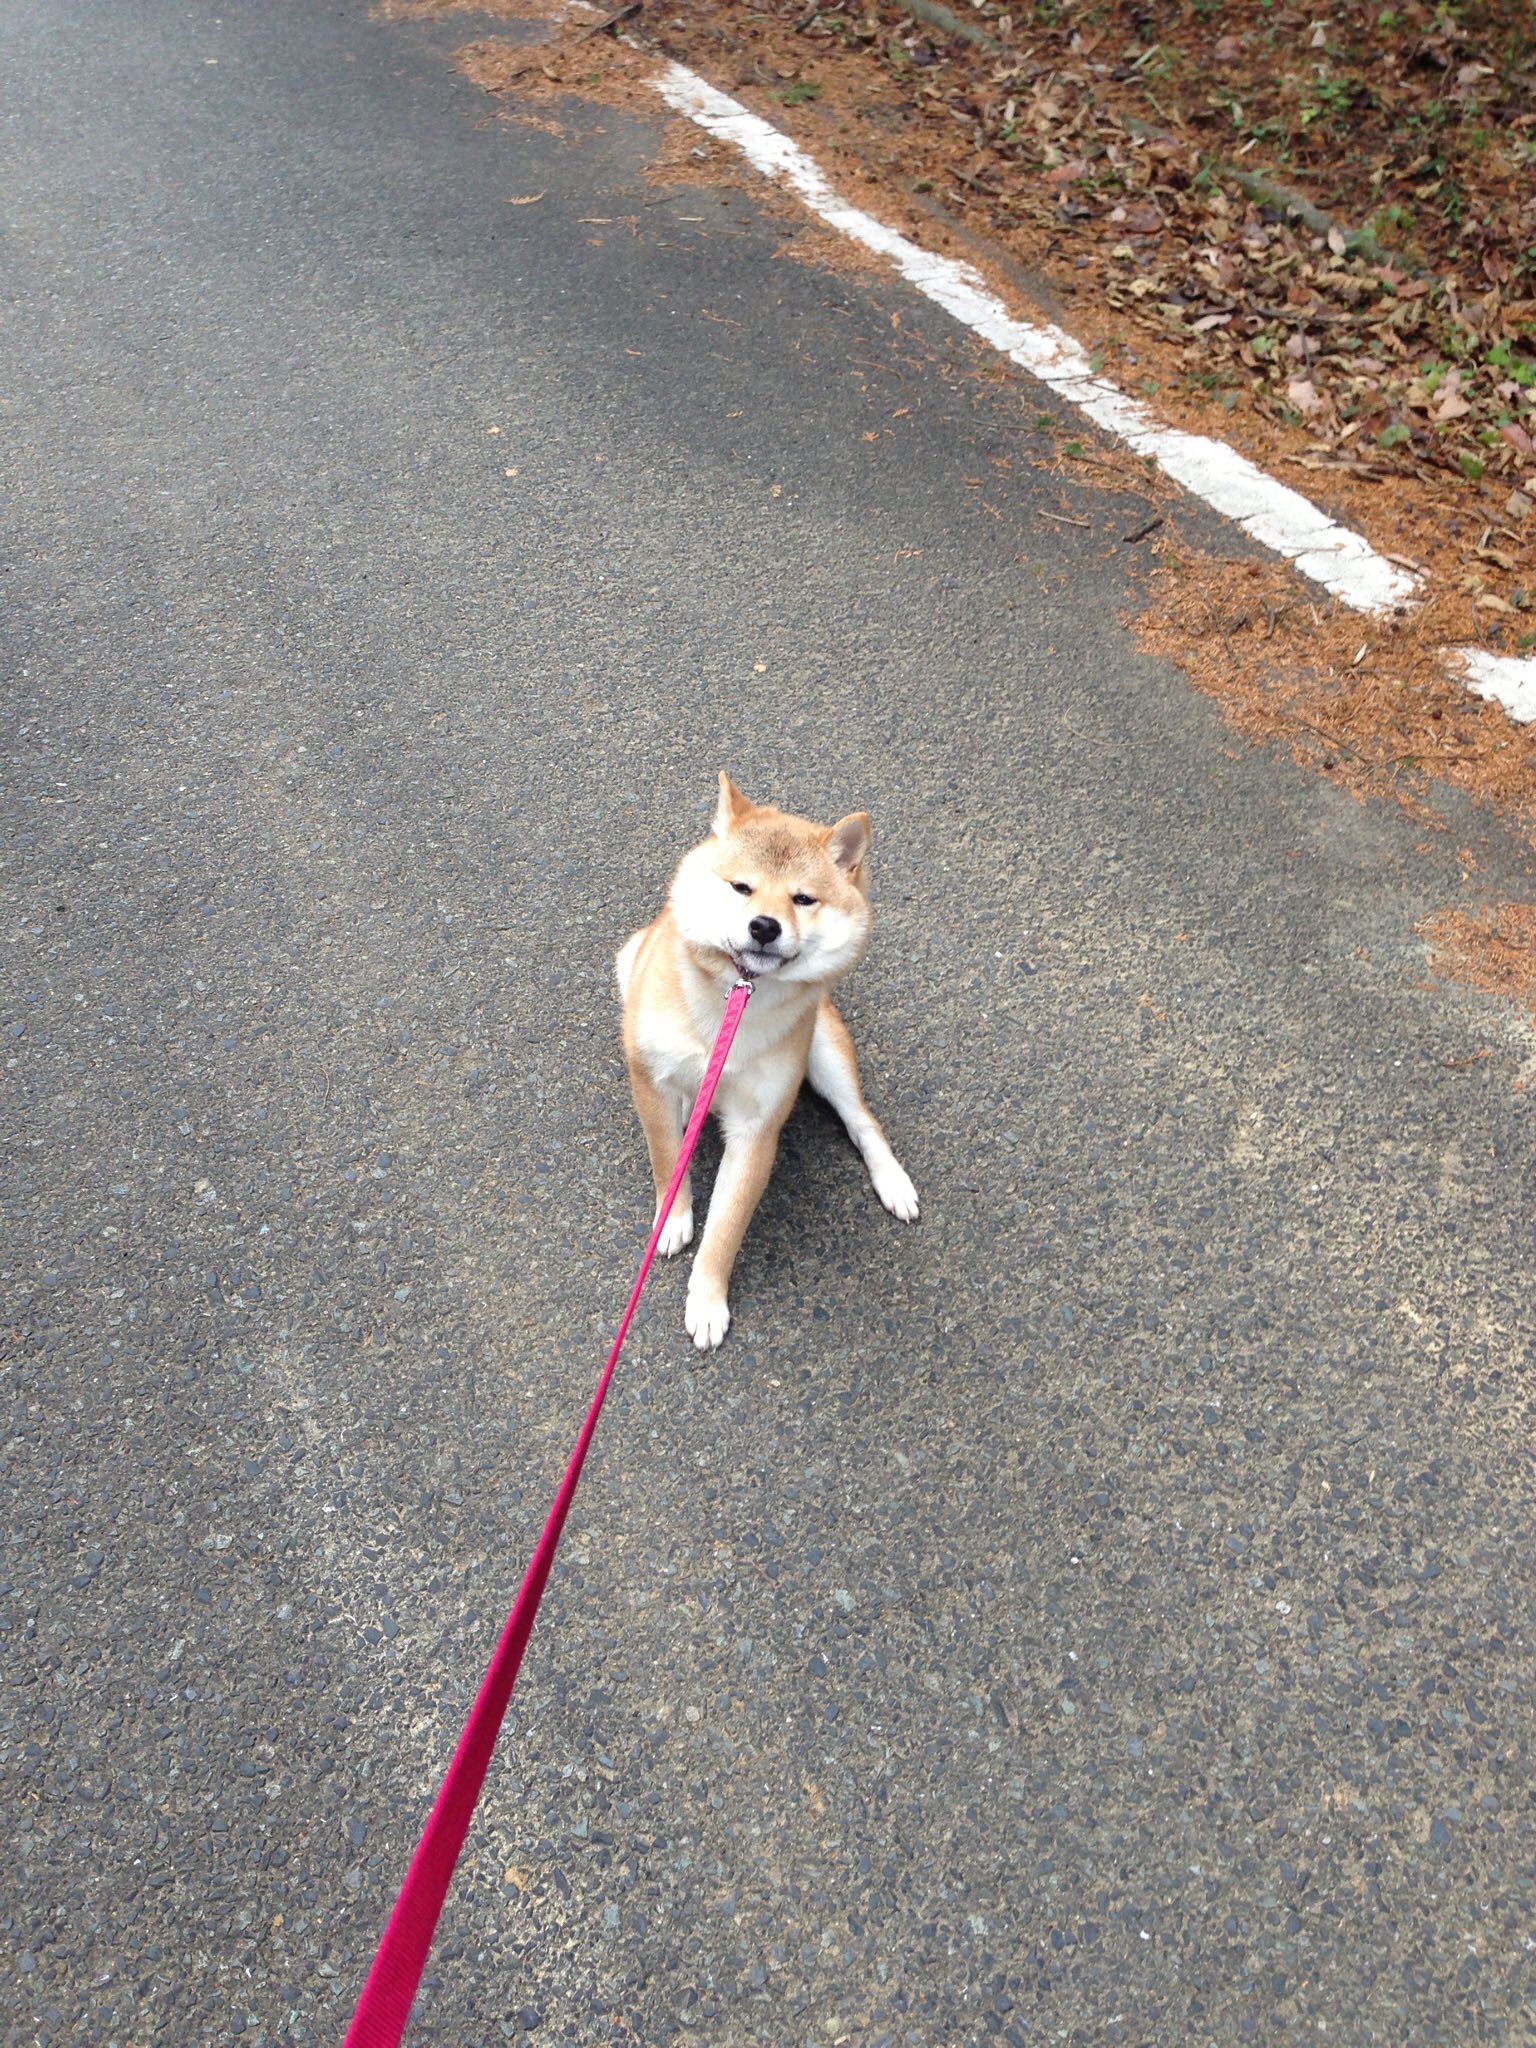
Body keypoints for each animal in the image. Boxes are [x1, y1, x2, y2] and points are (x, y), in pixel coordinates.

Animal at [618, 774, 925, 1351]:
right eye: (741, 887)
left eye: (803, 899)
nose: (764, 926)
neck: (732, 1001)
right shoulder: (650, 1079)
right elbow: (668, 1159)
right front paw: (672, 1218)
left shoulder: (757, 1128)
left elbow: (726, 1229)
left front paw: (707, 1300)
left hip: (823, 1051)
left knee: (863, 1121)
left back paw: (893, 1181)